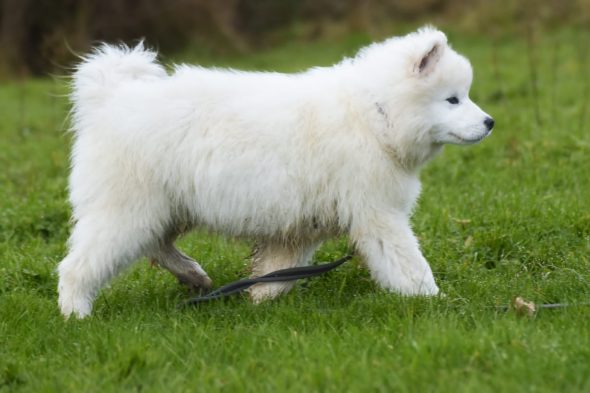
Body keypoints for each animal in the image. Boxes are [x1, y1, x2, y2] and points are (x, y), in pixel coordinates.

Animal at [59, 26, 494, 316]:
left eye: (465, 96)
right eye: (453, 100)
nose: (490, 122)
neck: (376, 114)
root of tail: (110, 98)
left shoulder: (301, 226)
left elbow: (279, 270)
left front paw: (260, 299)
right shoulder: (378, 215)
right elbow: (408, 262)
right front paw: (434, 301)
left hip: (163, 207)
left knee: (156, 246)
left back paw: (194, 277)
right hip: (128, 209)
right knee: (80, 264)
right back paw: (75, 312)